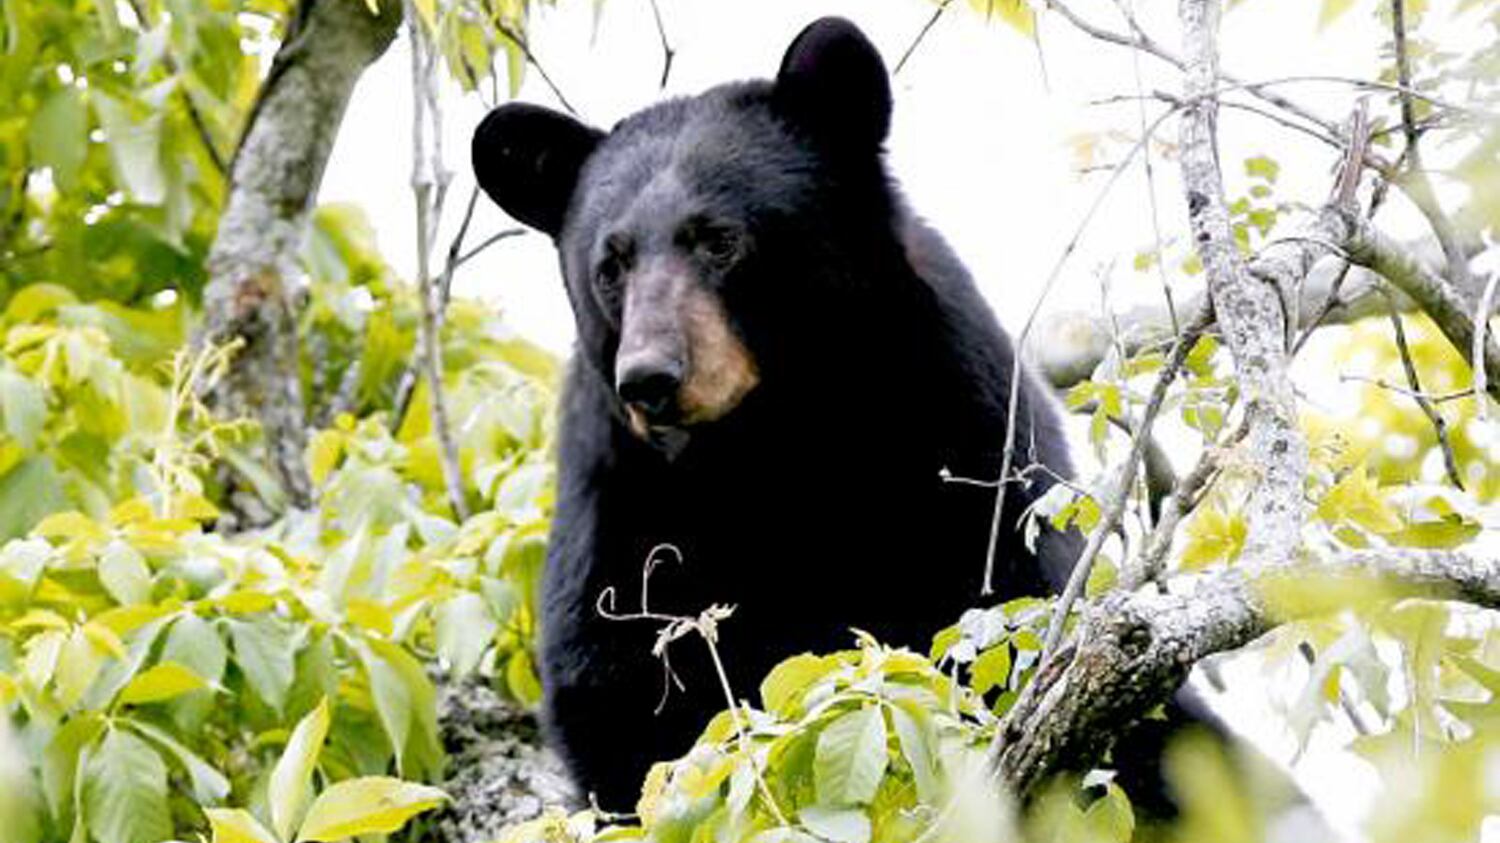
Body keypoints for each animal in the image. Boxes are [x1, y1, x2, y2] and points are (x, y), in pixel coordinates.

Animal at [472, 17, 1084, 811]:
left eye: (719, 239)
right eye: (610, 264)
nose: (649, 378)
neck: (772, 443)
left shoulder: (961, 424)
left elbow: (1012, 600)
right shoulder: (618, 498)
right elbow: (618, 698)